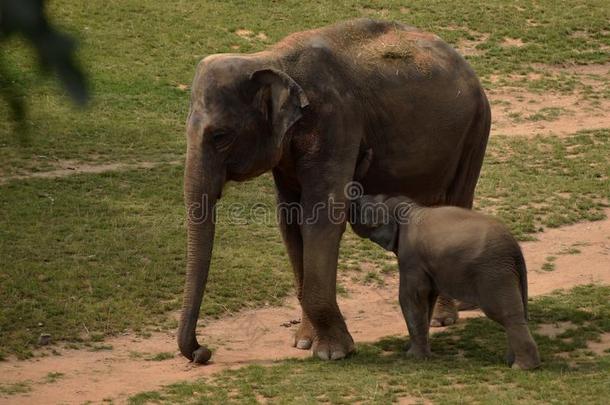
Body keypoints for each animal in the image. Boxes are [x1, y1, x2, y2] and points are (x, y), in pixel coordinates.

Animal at [177, 18, 490, 362]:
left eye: (220, 136)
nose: (203, 352)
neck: (271, 59)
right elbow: (290, 223)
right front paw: (303, 342)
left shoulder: (335, 122)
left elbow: (321, 217)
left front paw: (334, 352)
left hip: (475, 129)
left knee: (457, 201)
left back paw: (442, 320)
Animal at [350, 194, 540, 368]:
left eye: (360, 208)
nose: (353, 199)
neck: (408, 208)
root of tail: (515, 248)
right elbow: (428, 298)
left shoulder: (411, 257)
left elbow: (411, 296)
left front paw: (414, 356)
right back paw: (510, 361)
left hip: (494, 273)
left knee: (505, 314)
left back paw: (522, 367)